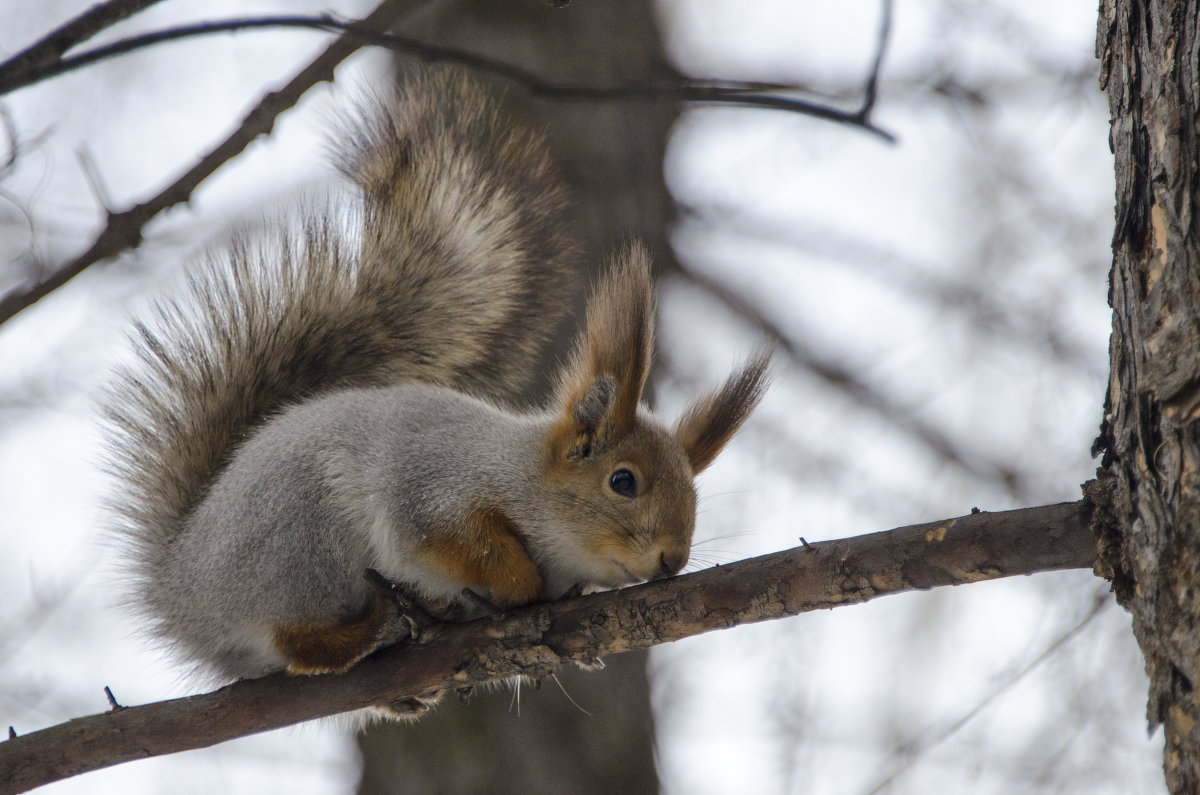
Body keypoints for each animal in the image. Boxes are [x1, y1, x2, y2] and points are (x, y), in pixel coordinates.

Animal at [103, 66, 768, 706]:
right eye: (623, 481)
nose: (672, 560)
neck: (521, 472)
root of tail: (181, 591)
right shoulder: (432, 490)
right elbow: (454, 540)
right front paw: (516, 583)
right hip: (298, 550)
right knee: (295, 640)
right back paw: (371, 629)